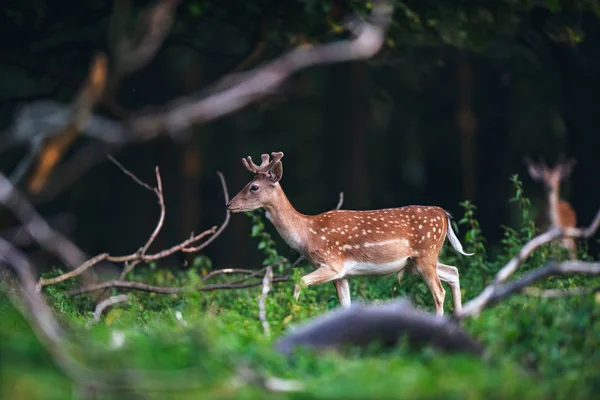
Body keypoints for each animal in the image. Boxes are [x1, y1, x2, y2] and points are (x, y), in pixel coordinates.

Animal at [227, 152, 476, 318]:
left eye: (254, 187)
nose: (229, 204)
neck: (307, 233)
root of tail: (443, 214)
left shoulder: (332, 263)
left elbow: (299, 283)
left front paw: (292, 315)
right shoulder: (342, 274)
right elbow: (345, 304)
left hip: (426, 253)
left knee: (439, 292)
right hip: (417, 262)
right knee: (453, 272)